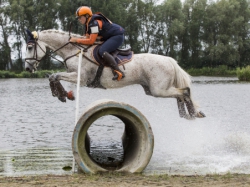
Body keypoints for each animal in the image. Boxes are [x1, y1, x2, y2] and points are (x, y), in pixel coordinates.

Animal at [24, 29, 206, 120]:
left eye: (30, 47)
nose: (27, 68)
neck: (74, 51)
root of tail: (169, 60)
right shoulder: (73, 75)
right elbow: (53, 77)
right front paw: (63, 95)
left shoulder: (81, 79)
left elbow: (54, 76)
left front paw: (63, 95)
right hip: (153, 90)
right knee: (180, 95)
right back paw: (187, 115)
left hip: (158, 90)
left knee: (184, 92)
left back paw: (191, 114)